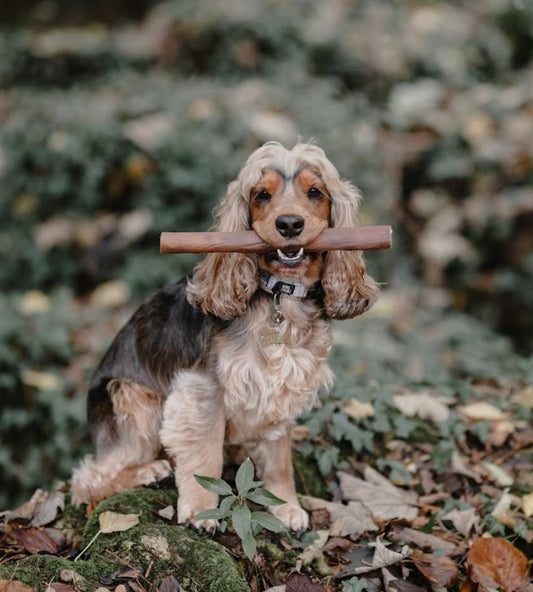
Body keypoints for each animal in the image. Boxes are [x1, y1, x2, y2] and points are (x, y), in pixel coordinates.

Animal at [70, 140, 378, 532]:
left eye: (315, 192)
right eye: (261, 195)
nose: (289, 224)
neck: (282, 296)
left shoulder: (279, 387)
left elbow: (279, 459)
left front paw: (286, 505)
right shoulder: (202, 387)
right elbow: (204, 454)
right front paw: (201, 510)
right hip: (130, 397)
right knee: (88, 478)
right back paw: (147, 471)